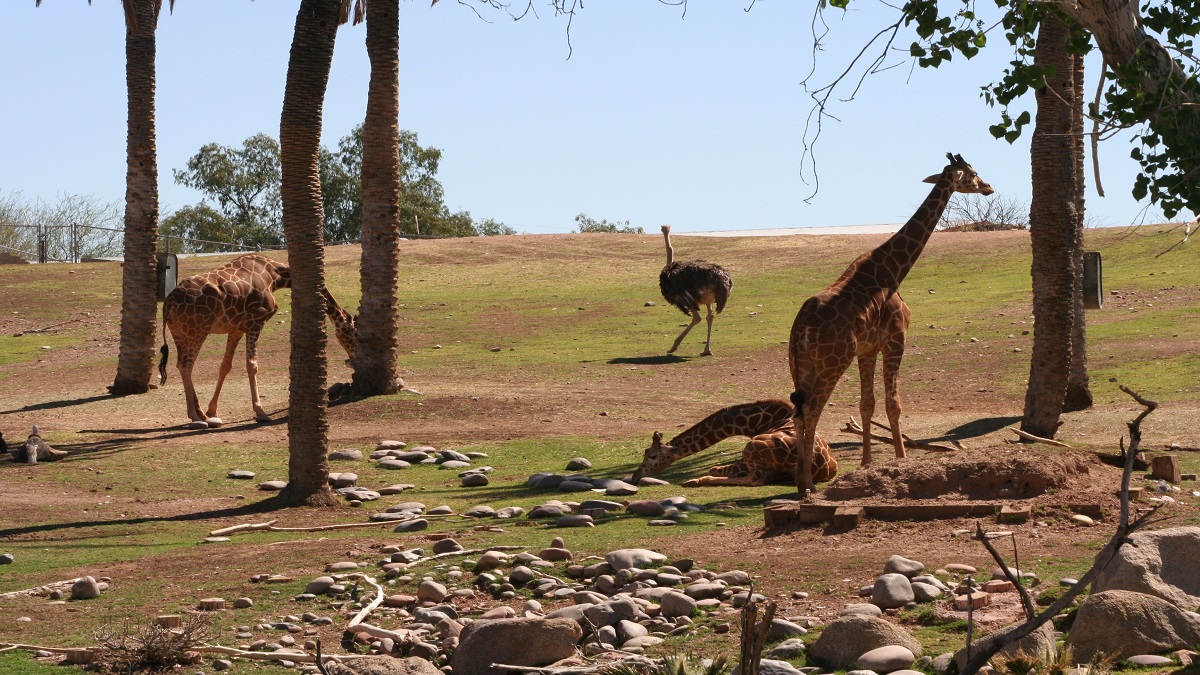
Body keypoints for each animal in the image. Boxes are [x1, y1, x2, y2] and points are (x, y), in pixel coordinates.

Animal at [159, 252, 357, 425]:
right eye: (354, 334)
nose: (353, 359)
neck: (275, 275)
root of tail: (168, 302)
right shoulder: (257, 321)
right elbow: (252, 365)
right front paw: (261, 412)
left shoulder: (237, 329)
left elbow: (225, 366)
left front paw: (212, 410)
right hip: (198, 330)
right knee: (186, 365)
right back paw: (195, 416)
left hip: (180, 333)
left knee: (181, 364)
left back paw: (201, 413)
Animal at [633, 396, 840, 485]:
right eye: (645, 452)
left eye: (652, 456)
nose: (635, 476)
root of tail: (821, 468)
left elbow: (715, 468)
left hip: (751, 448)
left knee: (754, 480)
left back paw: (696, 480)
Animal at [657, 224, 729, 355]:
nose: (664, 228)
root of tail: (719, 278)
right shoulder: (708, 301)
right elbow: (709, 317)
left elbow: (697, 318)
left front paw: (673, 346)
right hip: (710, 298)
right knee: (710, 317)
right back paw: (707, 350)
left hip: (689, 299)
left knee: (697, 318)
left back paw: (674, 346)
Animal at [787, 154, 993, 497]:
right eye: (973, 173)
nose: (990, 187)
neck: (893, 271)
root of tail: (801, 327)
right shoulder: (896, 338)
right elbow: (893, 403)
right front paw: (901, 457)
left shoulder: (867, 349)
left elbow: (867, 404)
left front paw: (867, 463)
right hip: (833, 361)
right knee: (813, 409)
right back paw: (807, 486)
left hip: (800, 364)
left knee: (798, 410)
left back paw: (802, 482)